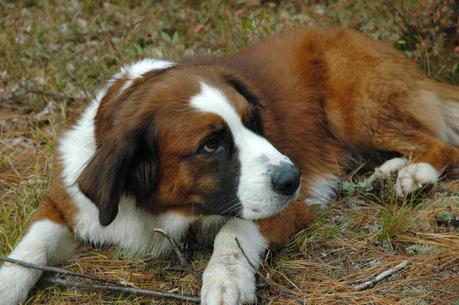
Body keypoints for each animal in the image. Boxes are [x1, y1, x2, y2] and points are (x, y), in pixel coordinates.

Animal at [0, 27, 459, 302]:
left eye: (254, 122)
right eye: (210, 145)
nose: (293, 178)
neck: (152, 205)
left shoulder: (288, 207)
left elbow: (235, 230)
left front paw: (225, 279)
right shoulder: (67, 203)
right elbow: (31, 246)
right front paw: (7, 283)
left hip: (356, 107)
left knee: (440, 145)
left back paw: (413, 175)